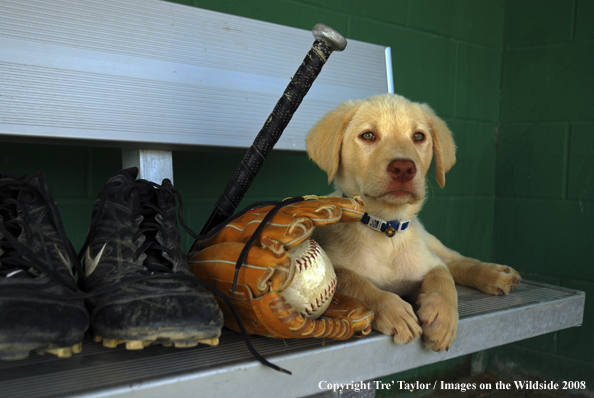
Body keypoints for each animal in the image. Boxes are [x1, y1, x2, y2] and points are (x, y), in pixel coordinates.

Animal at [306, 93, 520, 352]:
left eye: (418, 136)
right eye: (368, 136)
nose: (403, 168)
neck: (387, 228)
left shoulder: (427, 263)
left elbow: (442, 277)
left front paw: (442, 317)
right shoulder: (333, 264)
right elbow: (354, 281)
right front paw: (393, 310)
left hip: (431, 244)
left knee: (455, 261)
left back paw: (494, 273)